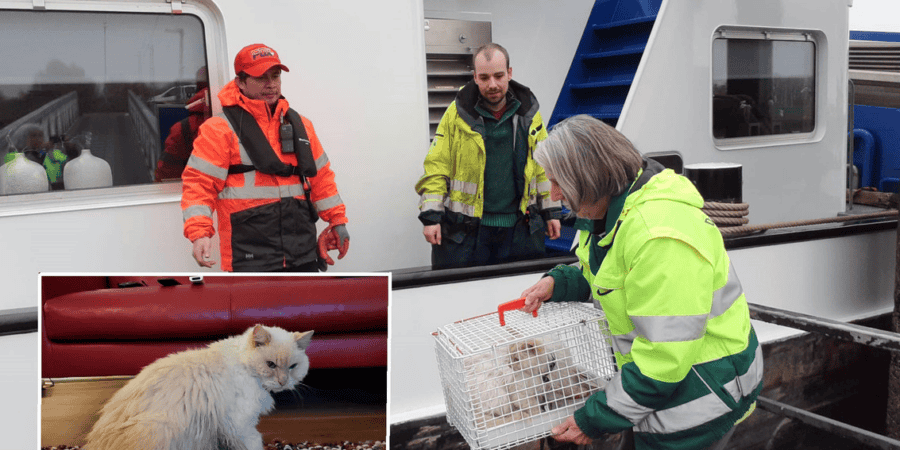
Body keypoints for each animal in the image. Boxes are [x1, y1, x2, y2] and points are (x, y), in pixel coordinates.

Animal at [84, 324, 314, 450]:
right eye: (271, 365)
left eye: (292, 367)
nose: (283, 382)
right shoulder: (239, 425)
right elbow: (254, 444)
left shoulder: (224, 431)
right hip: (159, 428)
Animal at [434, 298, 620, 450]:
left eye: (515, 358)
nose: (509, 363)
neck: (547, 369)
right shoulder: (521, 393)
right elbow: (535, 409)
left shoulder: (560, 378)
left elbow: (569, 388)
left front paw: (581, 392)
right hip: (499, 398)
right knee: (491, 421)